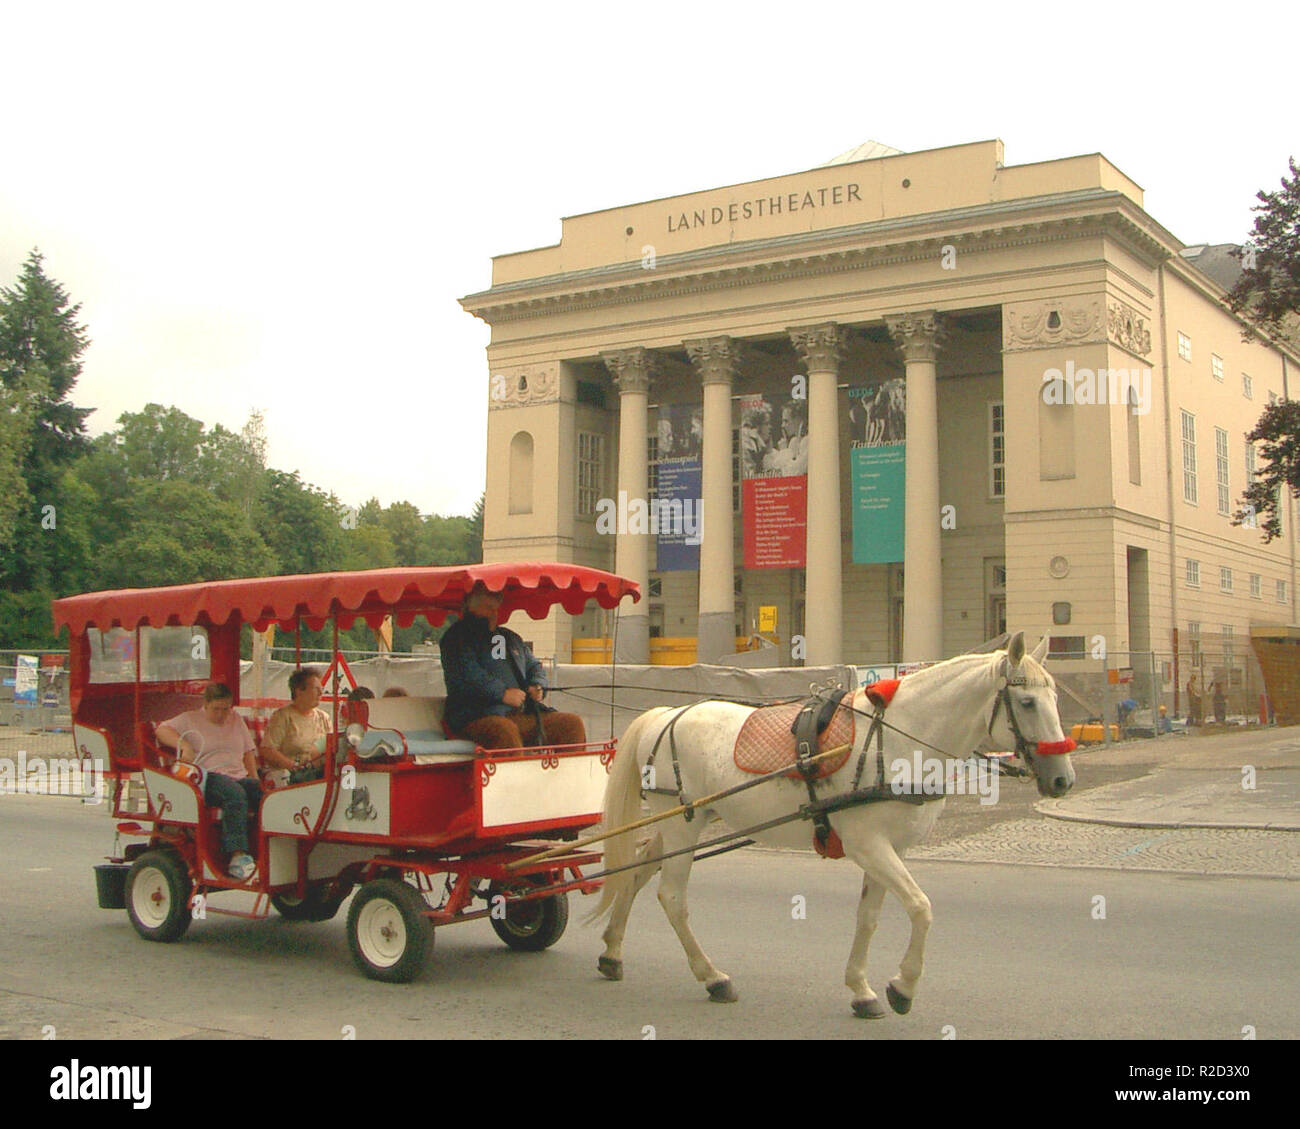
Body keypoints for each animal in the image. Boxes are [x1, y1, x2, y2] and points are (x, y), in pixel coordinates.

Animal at [590, 634, 1076, 1014]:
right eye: (1027, 702)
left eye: (1055, 700)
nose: (1063, 780)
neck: (895, 737)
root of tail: (665, 714)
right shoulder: (869, 845)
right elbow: (921, 908)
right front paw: (903, 986)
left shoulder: (889, 849)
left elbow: (869, 916)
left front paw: (861, 989)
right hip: (682, 827)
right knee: (672, 898)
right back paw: (712, 976)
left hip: (680, 826)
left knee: (635, 873)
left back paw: (612, 951)